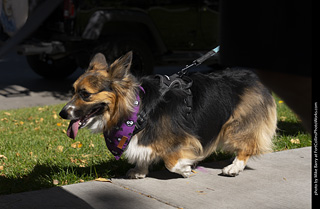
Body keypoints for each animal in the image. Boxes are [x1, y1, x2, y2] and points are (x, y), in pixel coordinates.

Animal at [58, 51, 276, 178]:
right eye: (73, 91)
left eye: (85, 94)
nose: (61, 113)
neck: (136, 108)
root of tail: (253, 75)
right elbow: (144, 152)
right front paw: (139, 171)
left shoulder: (184, 138)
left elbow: (171, 163)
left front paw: (185, 169)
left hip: (235, 125)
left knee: (246, 145)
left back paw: (234, 167)